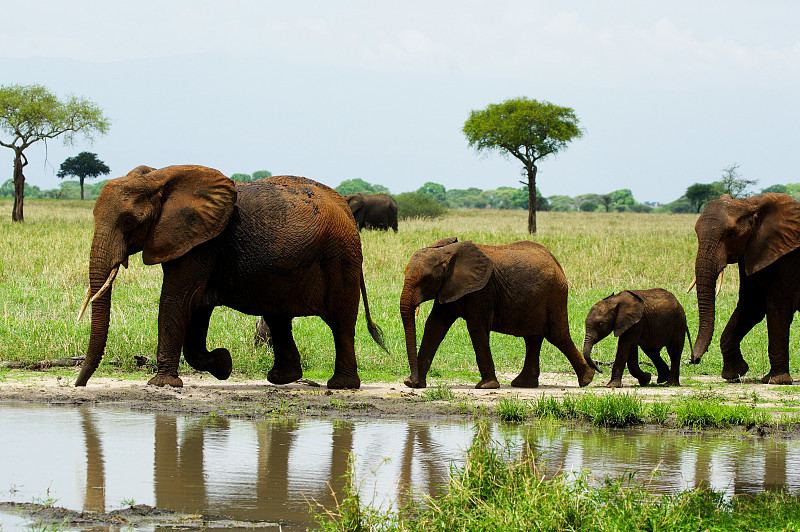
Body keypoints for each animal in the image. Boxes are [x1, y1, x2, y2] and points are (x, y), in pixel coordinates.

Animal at [76, 164, 388, 388]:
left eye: (130, 221)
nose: (80, 385)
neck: (158, 179)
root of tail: (345, 208)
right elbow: (197, 306)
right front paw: (223, 364)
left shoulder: (201, 242)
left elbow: (179, 299)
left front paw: (162, 384)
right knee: (278, 317)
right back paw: (281, 379)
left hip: (341, 256)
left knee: (340, 322)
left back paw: (341, 386)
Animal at [688, 193, 800, 384]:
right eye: (696, 232)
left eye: (731, 233)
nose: (693, 359)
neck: (750, 203)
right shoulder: (751, 250)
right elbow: (751, 305)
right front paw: (735, 373)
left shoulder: (789, 258)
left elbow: (778, 307)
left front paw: (775, 380)